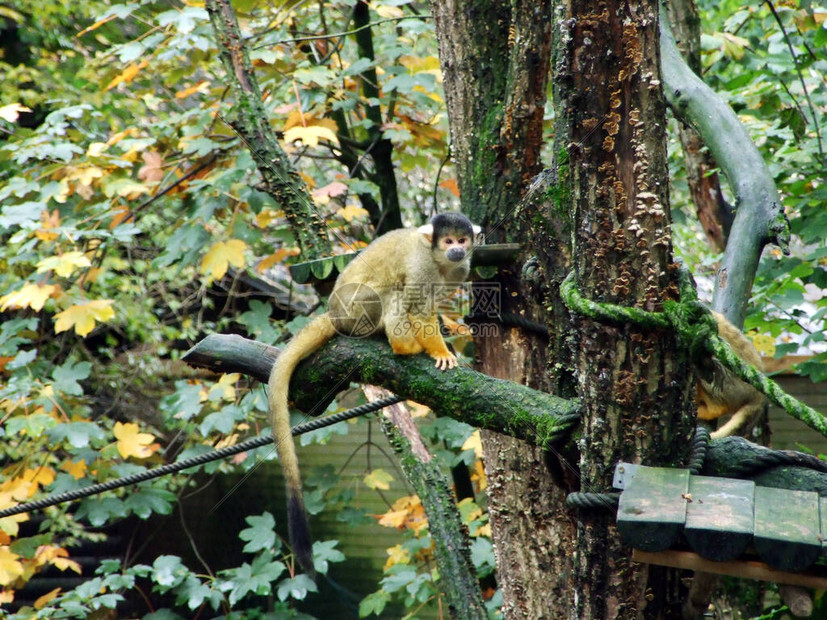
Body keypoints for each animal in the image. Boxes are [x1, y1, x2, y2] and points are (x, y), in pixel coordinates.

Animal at [268, 213, 482, 576]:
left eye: (462, 241)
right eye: (448, 241)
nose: (456, 250)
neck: (438, 260)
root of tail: (334, 313)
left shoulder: (458, 270)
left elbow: (432, 305)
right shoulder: (422, 264)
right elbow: (417, 307)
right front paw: (441, 351)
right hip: (358, 311)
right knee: (395, 291)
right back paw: (404, 345)